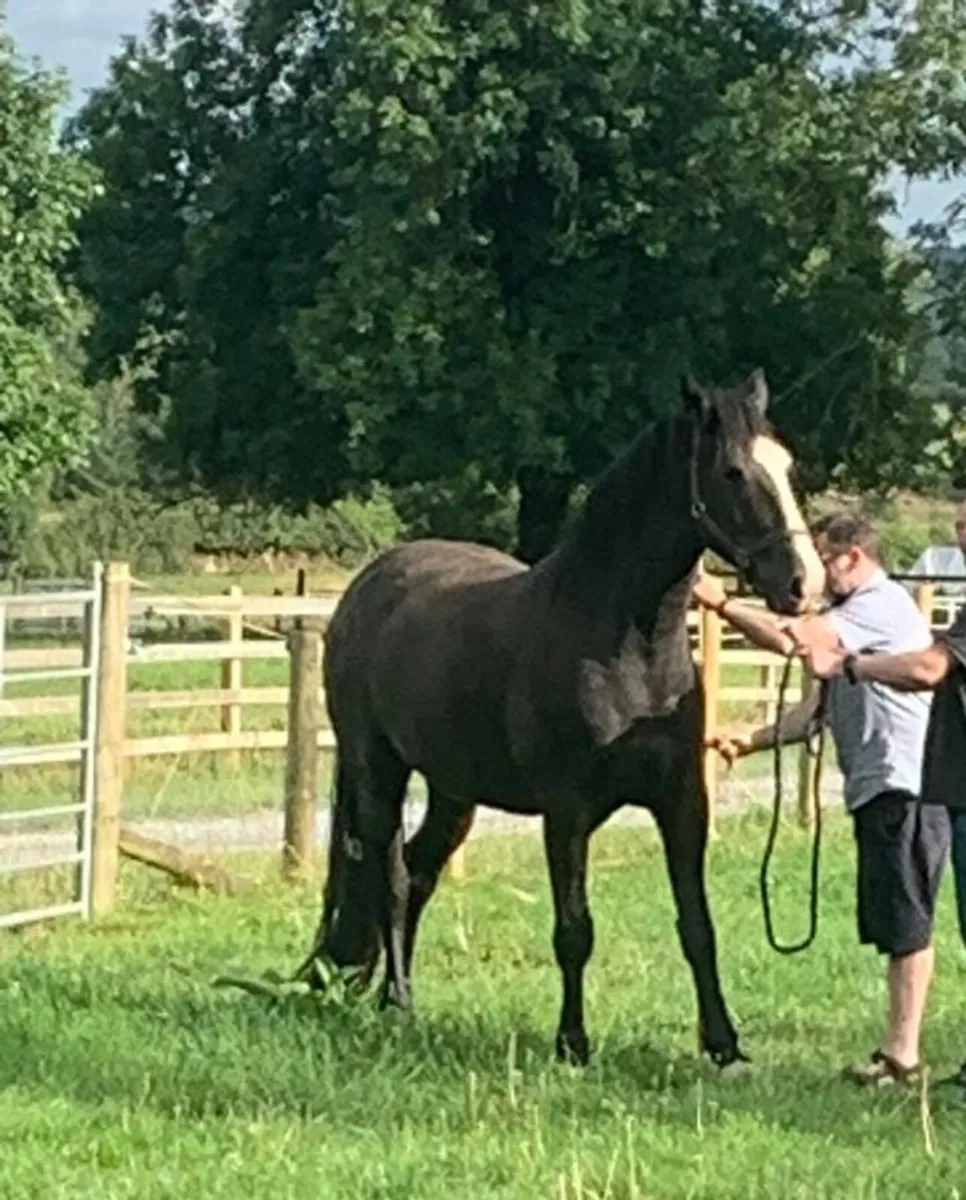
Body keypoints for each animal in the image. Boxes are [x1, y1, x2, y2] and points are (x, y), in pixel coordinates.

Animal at [298, 370, 824, 1069]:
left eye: (787, 466)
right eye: (734, 472)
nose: (802, 584)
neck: (627, 649)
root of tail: (366, 587)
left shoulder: (682, 801)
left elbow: (697, 926)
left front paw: (724, 1046)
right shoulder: (567, 811)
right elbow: (574, 930)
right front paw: (573, 1043)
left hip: (453, 792)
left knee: (419, 871)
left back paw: (388, 996)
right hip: (378, 771)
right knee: (391, 876)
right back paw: (400, 1004)